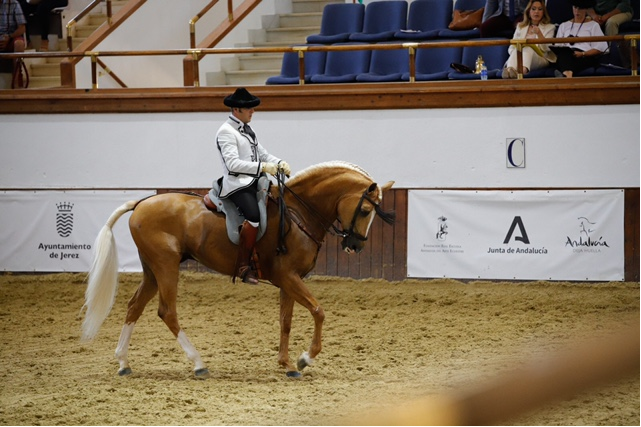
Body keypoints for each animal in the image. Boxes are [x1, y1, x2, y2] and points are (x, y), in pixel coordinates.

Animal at [82, 162, 392, 380]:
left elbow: (286, 320)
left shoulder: (289, 281)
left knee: (134, 306)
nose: (355, 246)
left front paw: (287, 364)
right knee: (167, 311)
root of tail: (141, 203)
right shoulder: (288, 277)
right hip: (165, 266)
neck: (298, 214)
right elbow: (318, 311)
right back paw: (198, 364)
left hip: (152, 271)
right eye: (365, 211)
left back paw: (123, 362)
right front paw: (306, 358)